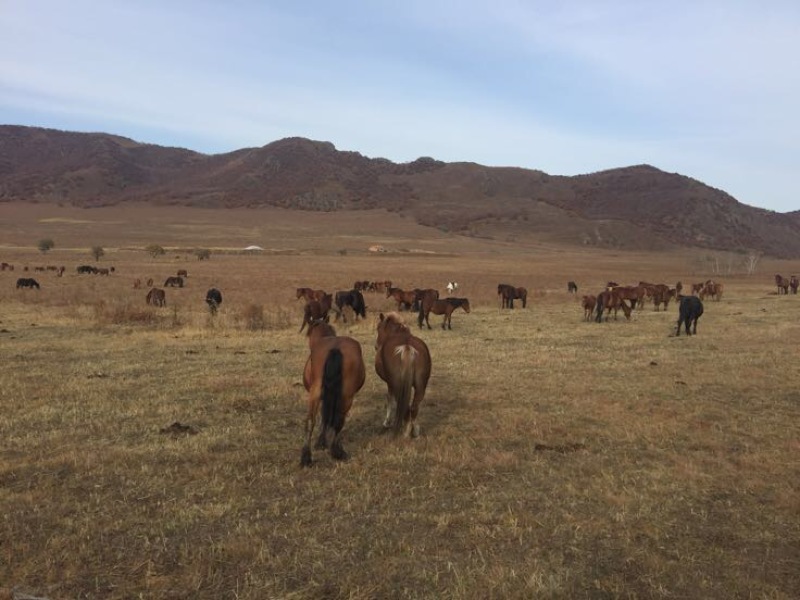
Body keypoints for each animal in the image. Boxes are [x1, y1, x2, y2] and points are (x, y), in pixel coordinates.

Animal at [300, 319, 366, 466]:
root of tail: (335, 348)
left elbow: (323, 416)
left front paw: (321, 442)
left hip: (317, 393)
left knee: (310, 420)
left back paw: (306, 457)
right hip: (346, 396)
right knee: (337, 421)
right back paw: (337, 452)